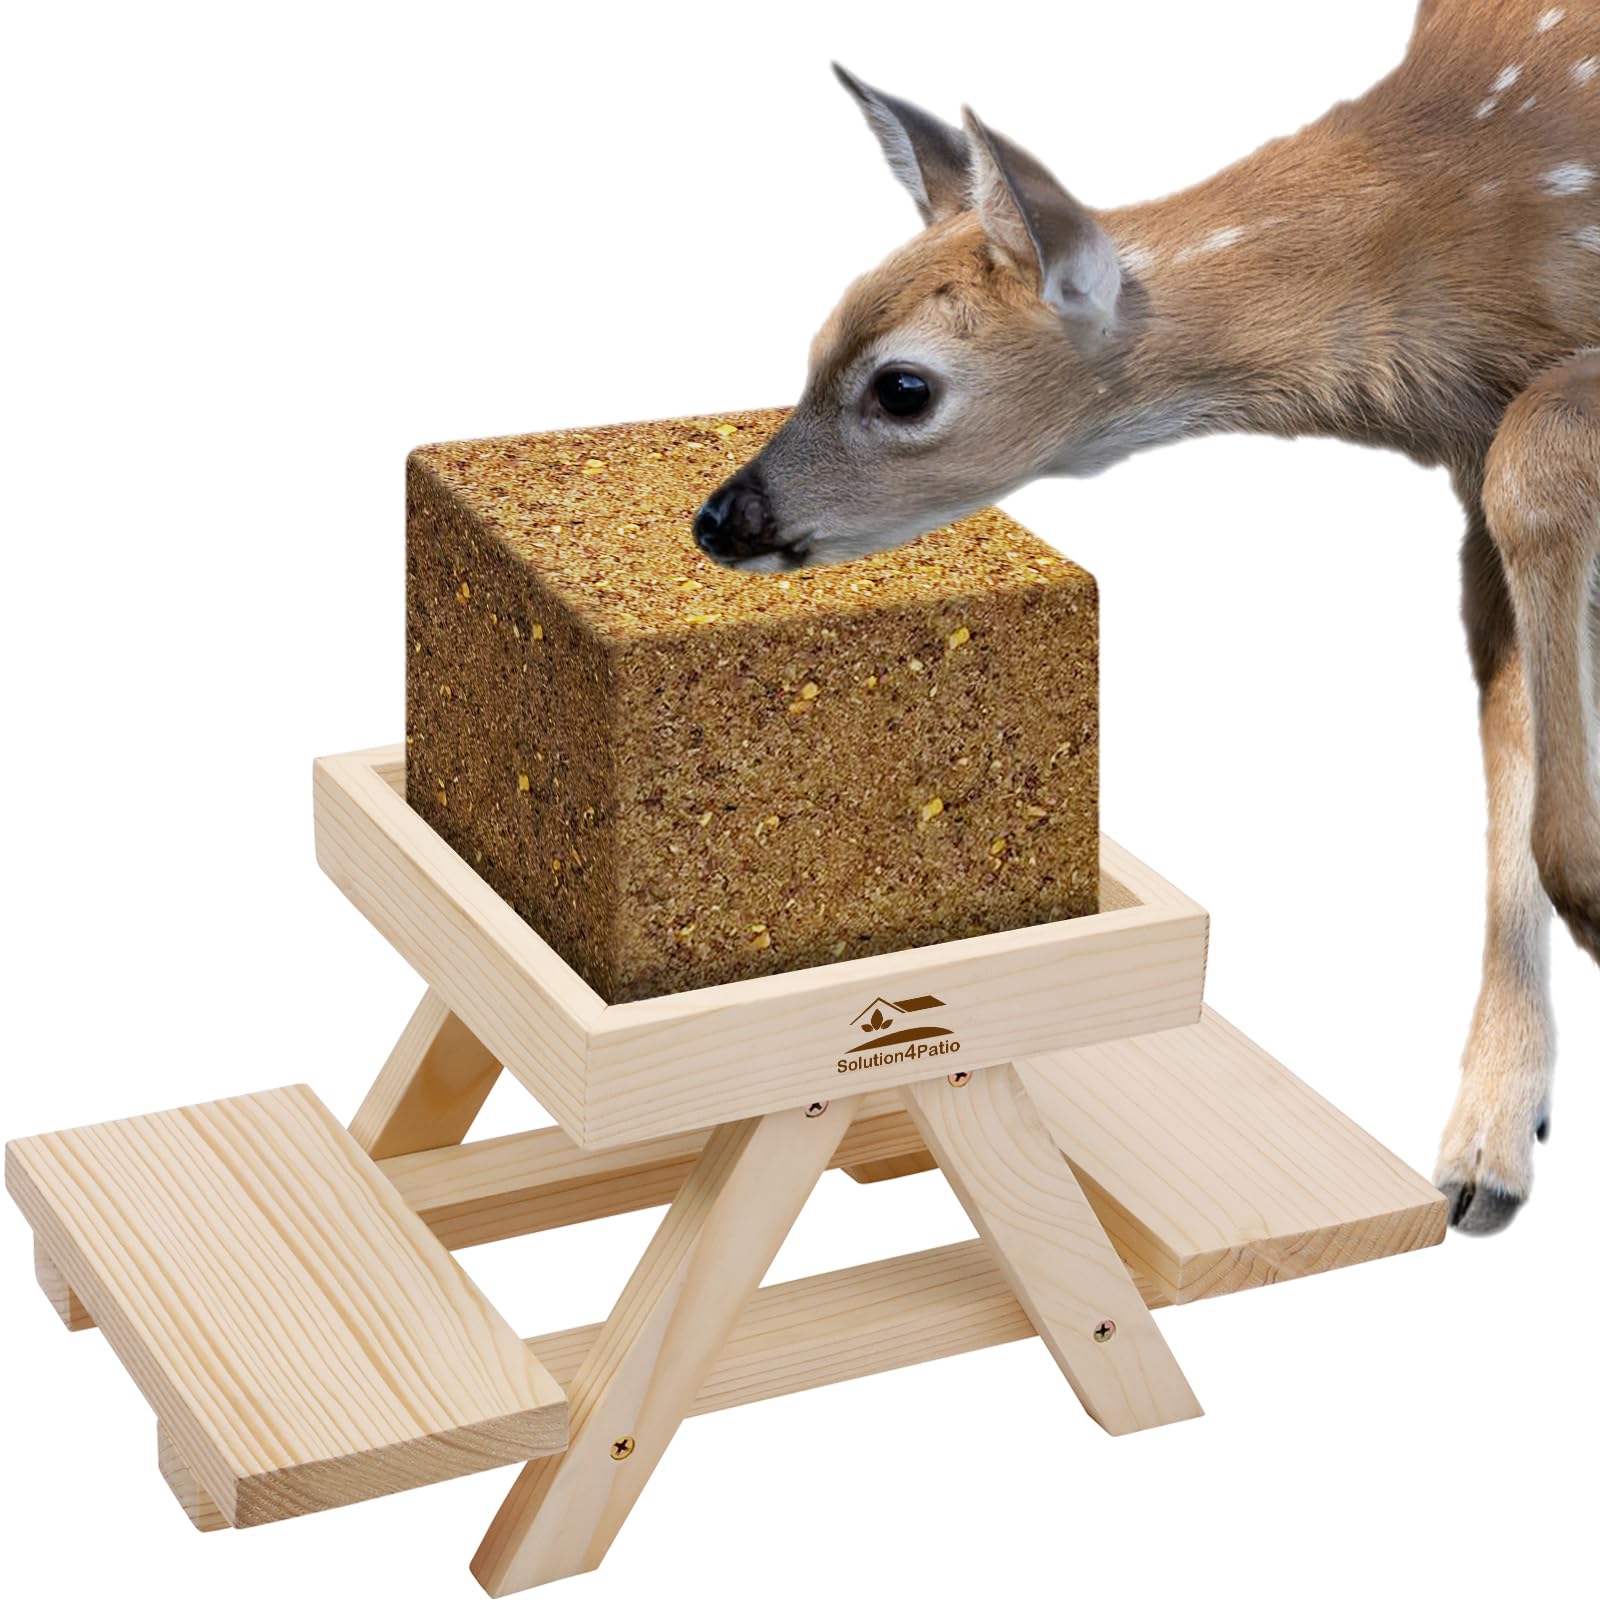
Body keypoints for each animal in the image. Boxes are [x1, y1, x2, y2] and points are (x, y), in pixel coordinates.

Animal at [691, 0, 1600, 1234]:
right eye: (814, 344)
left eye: (903, 386)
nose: (722, 516)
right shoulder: (1469, 450)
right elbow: (1504, 694)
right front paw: (1486, 1148)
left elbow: (1535, 478)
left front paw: (1593, 894)